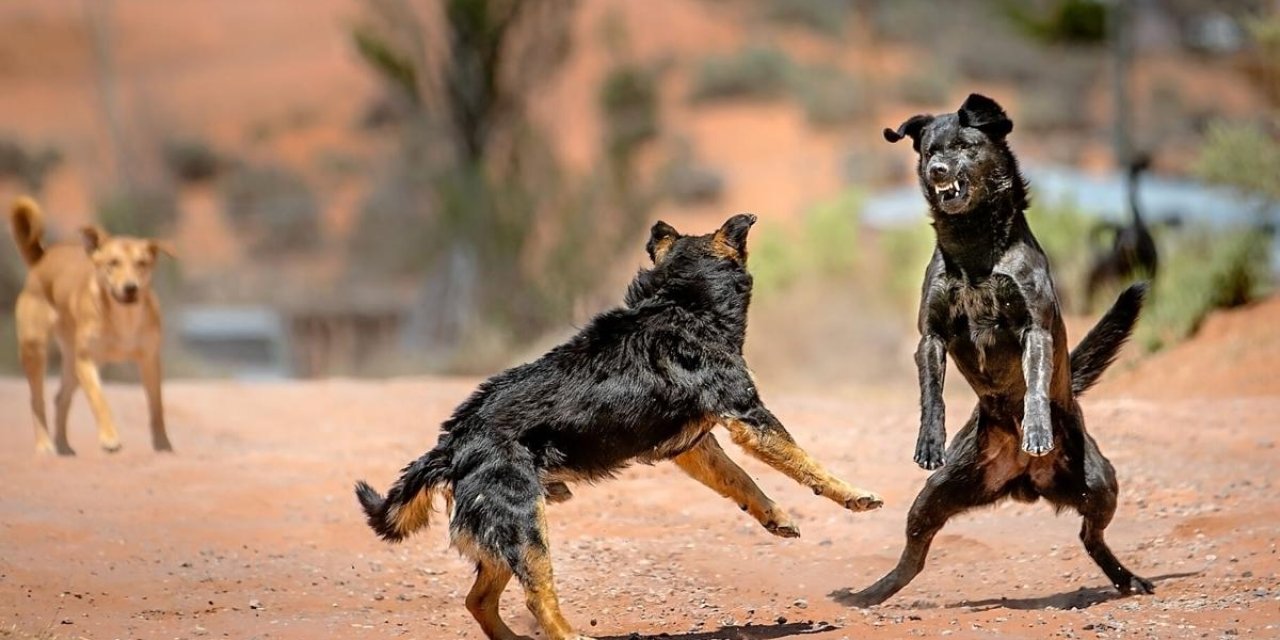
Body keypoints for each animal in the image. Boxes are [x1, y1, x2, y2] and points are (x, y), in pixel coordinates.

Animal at [8, 195, 175, 455]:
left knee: (61, 398)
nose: (130, 288)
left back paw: (64, 447)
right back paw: (45, 445)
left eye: (141, 263)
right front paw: (109, 438)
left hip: (70, 359)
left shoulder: (149, 360)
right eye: (113, 263)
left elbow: (156, 407)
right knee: (37, 400)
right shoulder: (86, 360)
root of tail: (43, 258)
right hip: (35, 348)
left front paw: (163, 445)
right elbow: (100, 401)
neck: (124, 318)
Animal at [355, 215, 885, 640]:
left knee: (479, 601)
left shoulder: (695, 447)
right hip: (526, 528)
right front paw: (854, 495)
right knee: (537, 599)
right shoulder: (747, 417)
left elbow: (742, 482)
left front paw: (775, 516)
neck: (682, 303)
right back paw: (572, 638)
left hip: (505, 537)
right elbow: (807, 464)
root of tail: (451, 444)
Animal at [834, 93, 1157, 604]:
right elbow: (932, 396)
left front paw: (1037, 429)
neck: (973, 250)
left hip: (1101, 483)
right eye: (929, 151)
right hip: (937, 492)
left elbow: (1035, 385)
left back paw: (1128, 579)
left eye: (965, 146)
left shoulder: (1035, 330)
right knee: (914, 554)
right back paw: (869, 594)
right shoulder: (931, 337)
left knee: (1091, 535)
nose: (938, 171)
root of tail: (1024, 480)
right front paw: (928, 441)